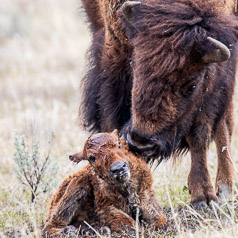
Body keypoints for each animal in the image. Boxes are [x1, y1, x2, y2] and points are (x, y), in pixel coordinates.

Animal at [80, 0, 238, 208]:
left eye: (192, 86)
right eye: (134, 66)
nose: (141, 143)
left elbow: (200, 134)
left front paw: (203, 198)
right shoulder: (114, 49)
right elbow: (109, 120)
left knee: (224, 125)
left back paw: (226, 187)